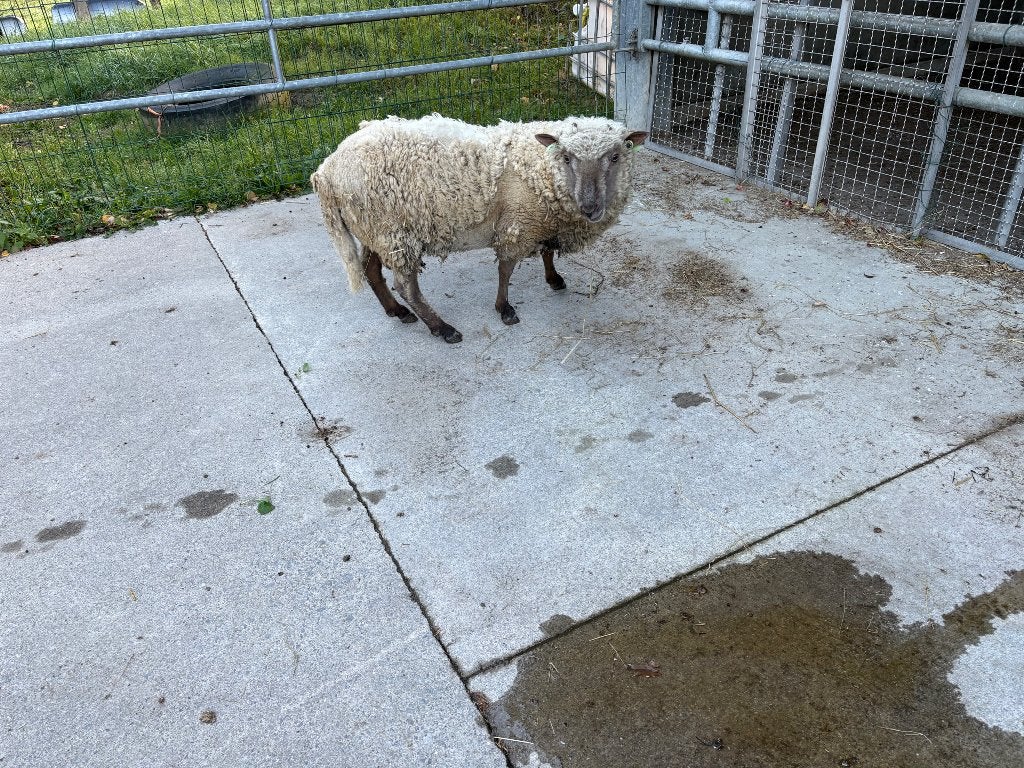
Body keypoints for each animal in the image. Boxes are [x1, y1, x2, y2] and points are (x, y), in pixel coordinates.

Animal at [311, 114, 648, 344]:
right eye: (566, 157)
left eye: (615, 156)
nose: (590, 207)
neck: (541, 169)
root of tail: (326, 170)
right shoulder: (517, 224)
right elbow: (506, 270)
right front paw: (504, 309)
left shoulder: (540, 221)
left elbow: (547, 253)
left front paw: (554, 279)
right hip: (392, 232)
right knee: (406, 287)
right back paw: (441, 328)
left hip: (374, 231)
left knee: (370, 270)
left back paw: (397, 312)